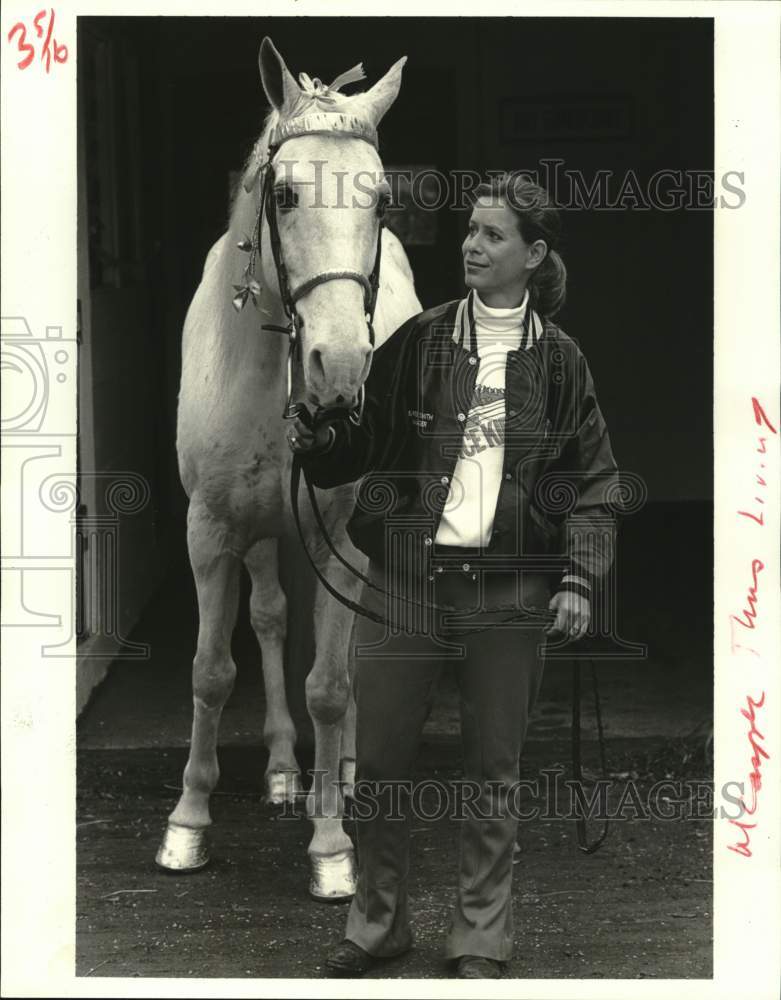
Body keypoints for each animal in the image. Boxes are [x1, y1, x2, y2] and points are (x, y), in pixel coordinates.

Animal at [154, 37, 420, 900]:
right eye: (283, 192)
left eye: (380, 202)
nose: (340, 367)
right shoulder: (210, 531)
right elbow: (210, 670)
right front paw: (187, 827)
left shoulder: (337, 531)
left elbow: (330, 686)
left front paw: (331, 847)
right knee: (269, 619)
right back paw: (279, 771)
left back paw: (342, 772)